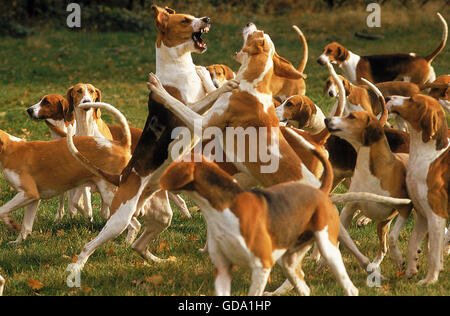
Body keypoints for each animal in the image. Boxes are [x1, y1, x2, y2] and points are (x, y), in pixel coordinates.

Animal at [0, 102, 131, 243]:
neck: (10, 149)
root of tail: (121, 144)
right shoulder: (34, 198)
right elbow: (26, 227)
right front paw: (17, 242)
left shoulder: (28, 193)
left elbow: (2, 210)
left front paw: (10, 223)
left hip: (110, 195)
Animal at [388, 93, 448, 284]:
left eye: (412, 100)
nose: (388, 97)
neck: (428, 155)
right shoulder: (422, 214)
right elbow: (412, 242)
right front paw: (411, 269)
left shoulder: (436, 216)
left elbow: (433, 253)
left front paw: (430, 280)